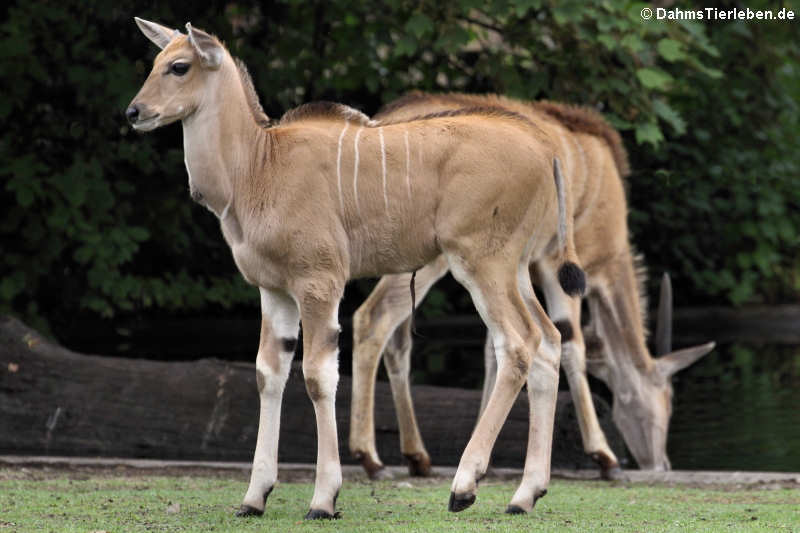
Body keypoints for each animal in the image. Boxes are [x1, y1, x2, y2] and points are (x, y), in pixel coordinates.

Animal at [126, 19, 588, 516]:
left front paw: (324, 498)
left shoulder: (319, 282)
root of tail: (545, 148)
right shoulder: (275, 291)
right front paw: (254, 497)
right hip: (515, 269)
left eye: (179, 66)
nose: (134, 112)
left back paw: (464, 486)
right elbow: (269, 374)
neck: (259, 165)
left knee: (518, 345)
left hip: (482, 263)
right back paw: (525, 494)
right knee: (549, 341)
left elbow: (317, 375)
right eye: (155, 61)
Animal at [346, 93, 716, 480]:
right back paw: (369, 457)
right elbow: (570, 343)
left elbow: (497, 349)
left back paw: (417, 456)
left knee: (397, 341)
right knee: (373, 319)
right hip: (429, 261)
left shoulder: (510, 270)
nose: (661, 464)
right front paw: (604, 455)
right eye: (665, 401)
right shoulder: (557, 266)